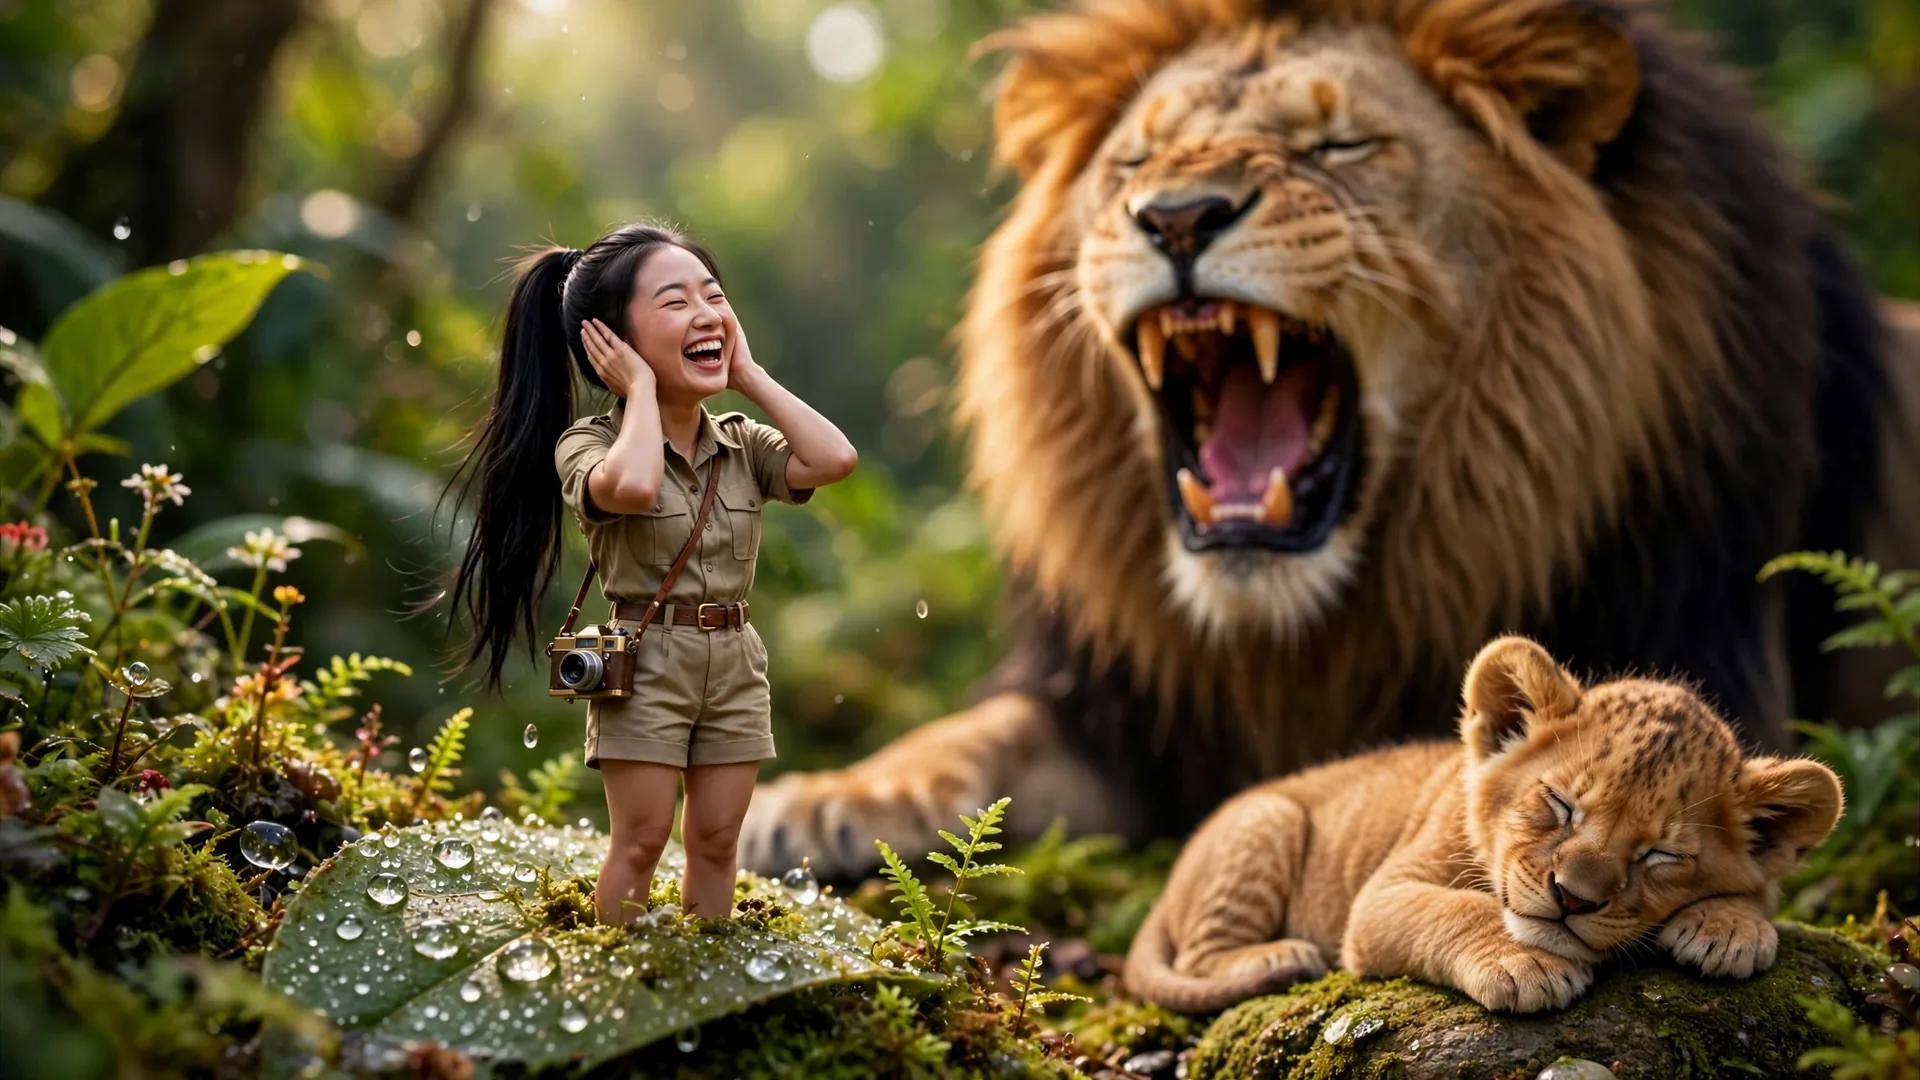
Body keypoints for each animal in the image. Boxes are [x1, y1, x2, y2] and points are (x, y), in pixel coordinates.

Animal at [738, 0, 1915, 880]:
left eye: (1339, 145)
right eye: (1134, 160)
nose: (1175, 215)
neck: (1305, 632)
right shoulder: (1122, 712)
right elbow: (975, 734)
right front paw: (824, 798)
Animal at [1122, 636, 1843, 1014]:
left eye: (1660, 855)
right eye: (1559, 804)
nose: (1571, 898)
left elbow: (1761, 892)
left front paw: (1730, 929)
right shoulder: (1379, 900)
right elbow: (1459, 910)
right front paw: (1524, 962)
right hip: (1266, 817)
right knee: (1199, 956)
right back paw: (1279, 955)